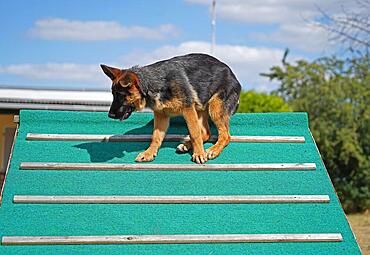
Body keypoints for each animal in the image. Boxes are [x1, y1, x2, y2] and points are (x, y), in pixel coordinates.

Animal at [99, 53, 241, 164]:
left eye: (120, 95)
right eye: (113, 94)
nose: (110, 115)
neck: (153, 84)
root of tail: (233, 75)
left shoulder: (188, 109)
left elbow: (194, 133)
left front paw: (199, 154)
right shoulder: (161, 115)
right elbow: (156, 136)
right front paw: (149, 153)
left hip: (215, 108)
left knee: (225, 135)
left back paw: (213, 150)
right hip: (200, 109)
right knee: (206, 133)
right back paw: (186, 145)